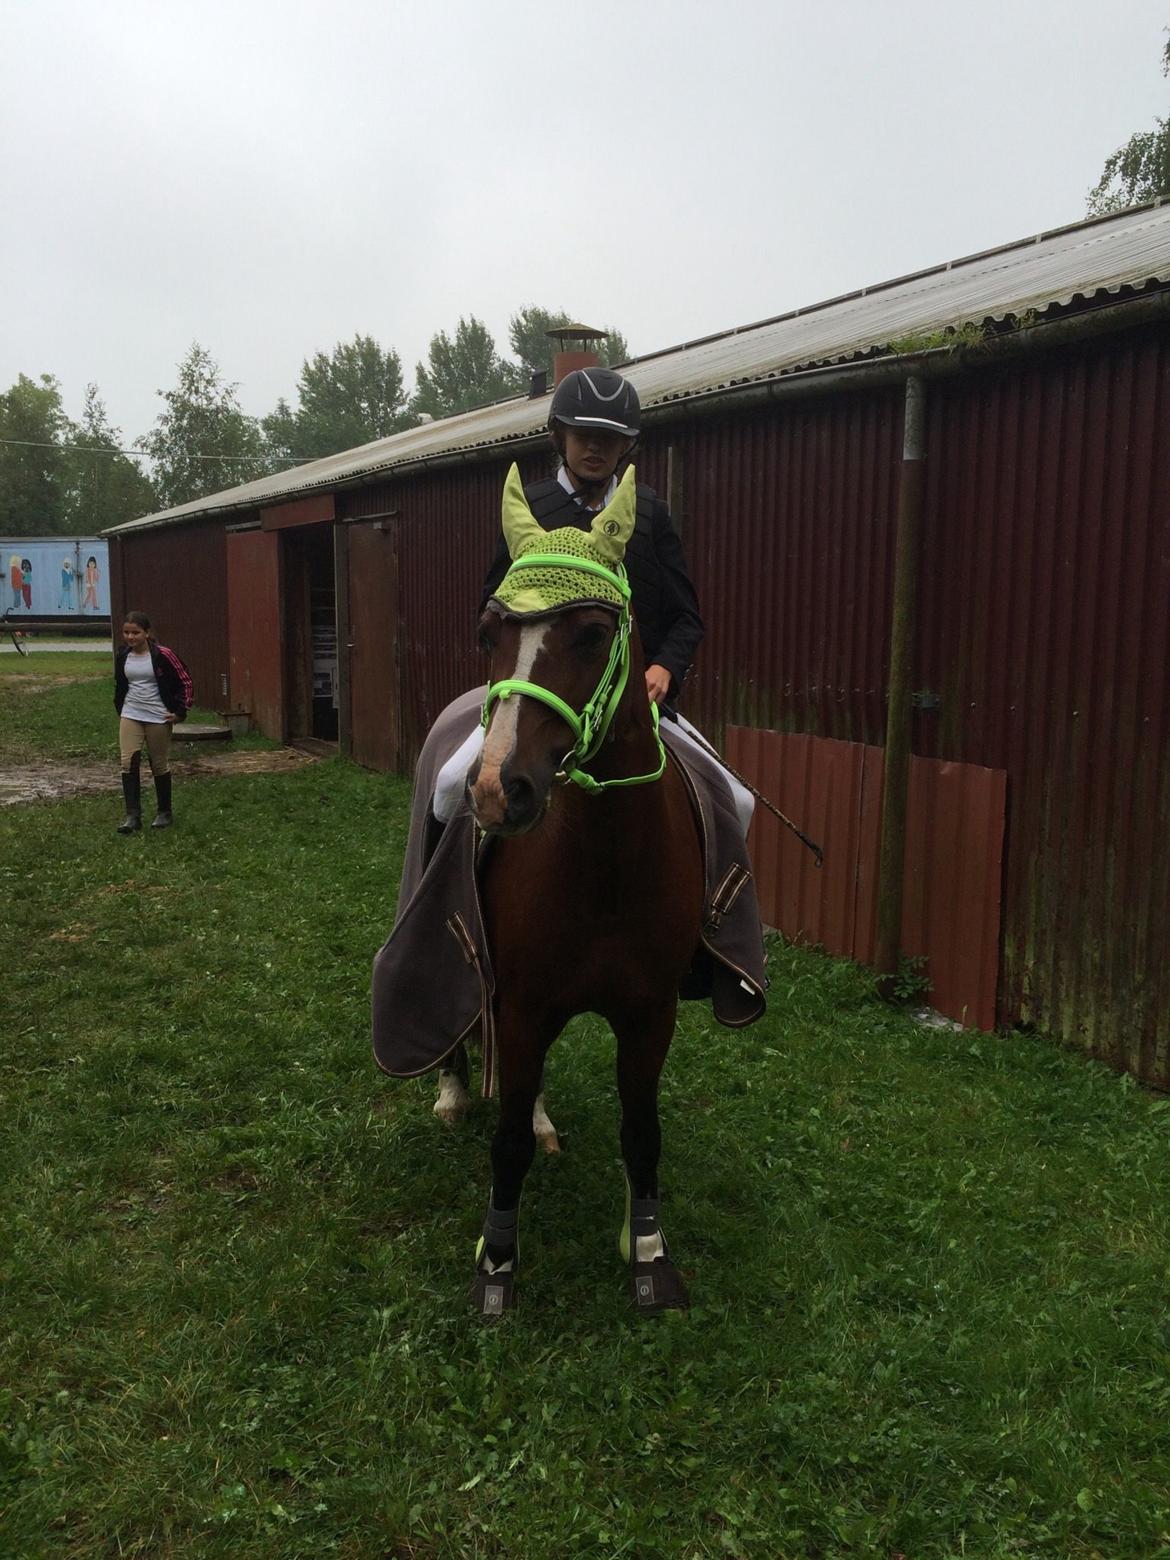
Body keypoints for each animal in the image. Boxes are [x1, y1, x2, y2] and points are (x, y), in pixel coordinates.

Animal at [452, 464, 702, 1316]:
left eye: (594, 635)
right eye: (488, 632)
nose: (498, 792)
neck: (606, 867)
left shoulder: (650, 1013)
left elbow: (644, 1134)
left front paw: (649, 1255)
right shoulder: (523, 1003)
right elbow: (505, 1146)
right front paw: (496, 1265)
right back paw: (452, 1093)